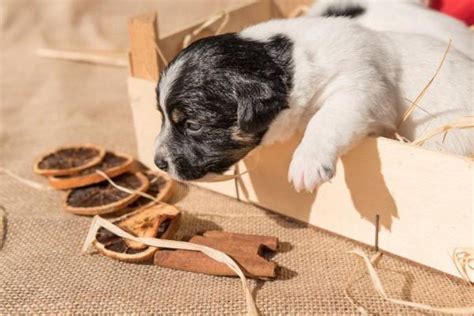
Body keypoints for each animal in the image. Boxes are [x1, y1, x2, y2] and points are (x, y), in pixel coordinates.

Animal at [154, 18, 472, 194]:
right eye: (162, 117)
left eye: (193, 125)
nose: (157, 163)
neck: (289, 63)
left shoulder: (357, 88)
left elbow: (325, 121)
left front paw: (307, 163)